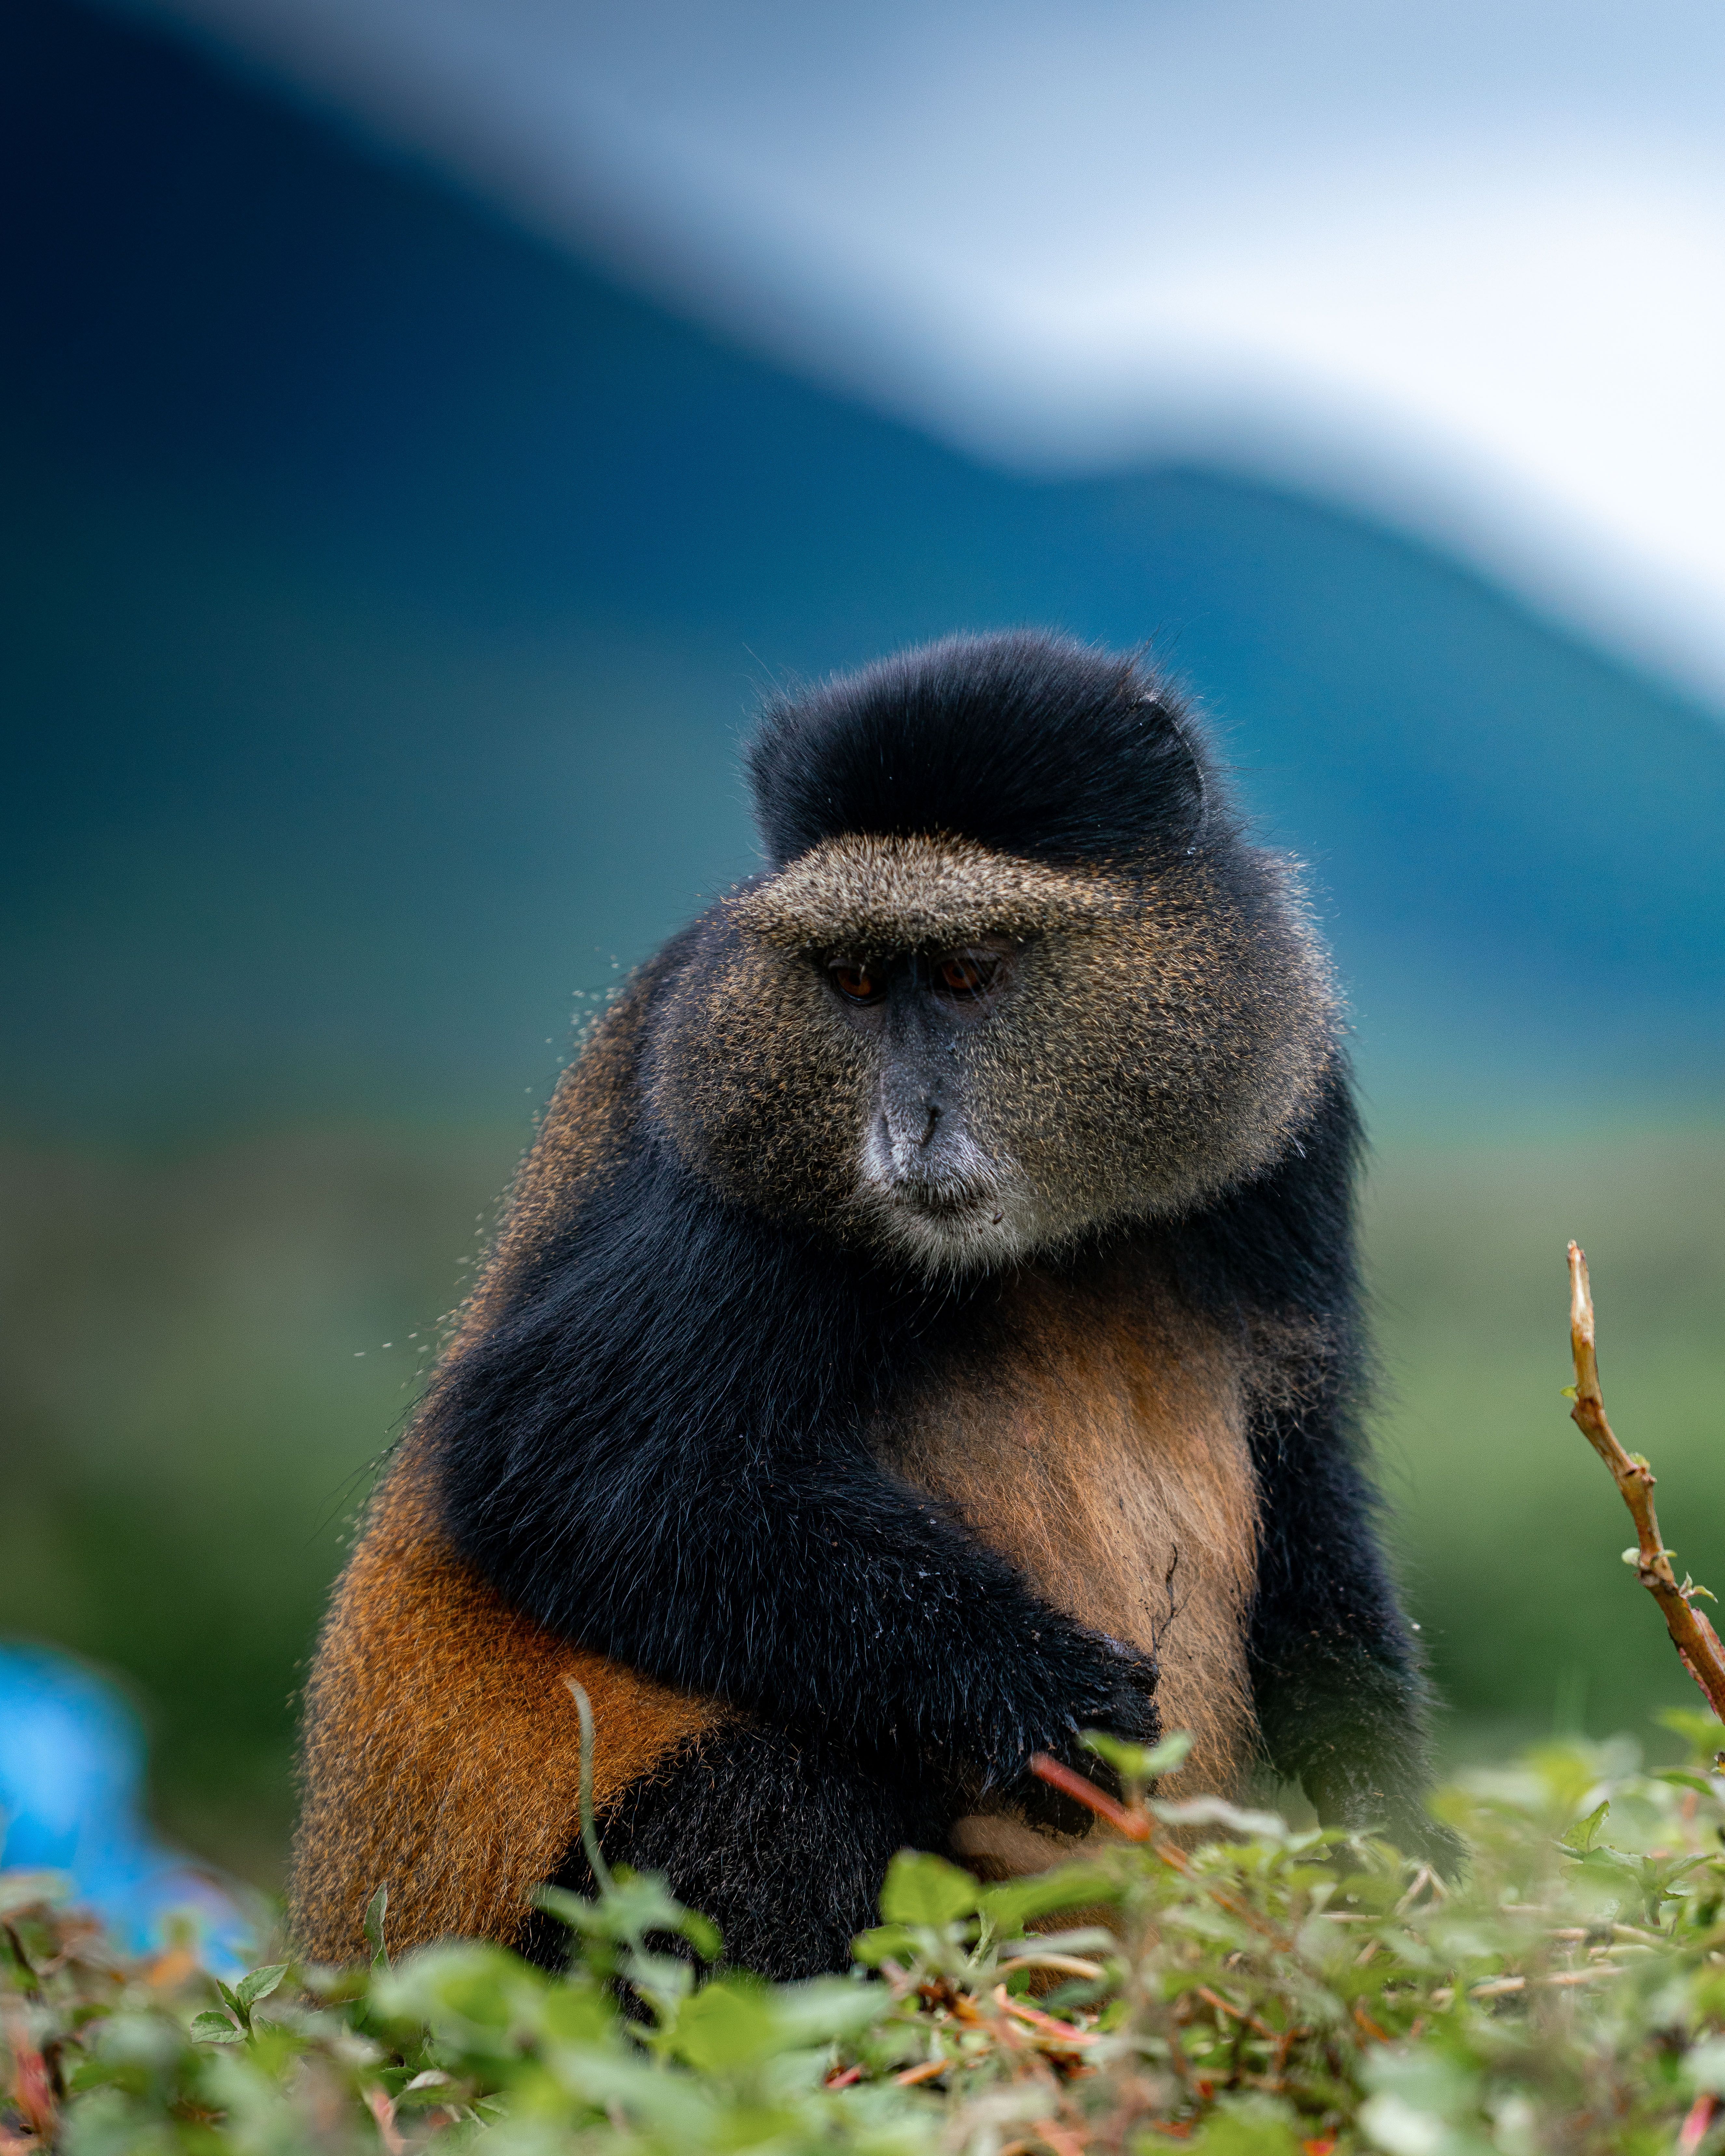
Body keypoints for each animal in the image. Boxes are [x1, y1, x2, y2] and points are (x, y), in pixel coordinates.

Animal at [290, 629, 1454, 1982]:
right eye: (850, 980)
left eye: (960, 971)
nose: (906, 1130)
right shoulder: (737, 1142)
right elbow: (563, 1460)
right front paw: (1032, 1688)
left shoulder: (1287, 1107)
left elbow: (1301, 1475)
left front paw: (1399, 1846)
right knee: (771, 1792)